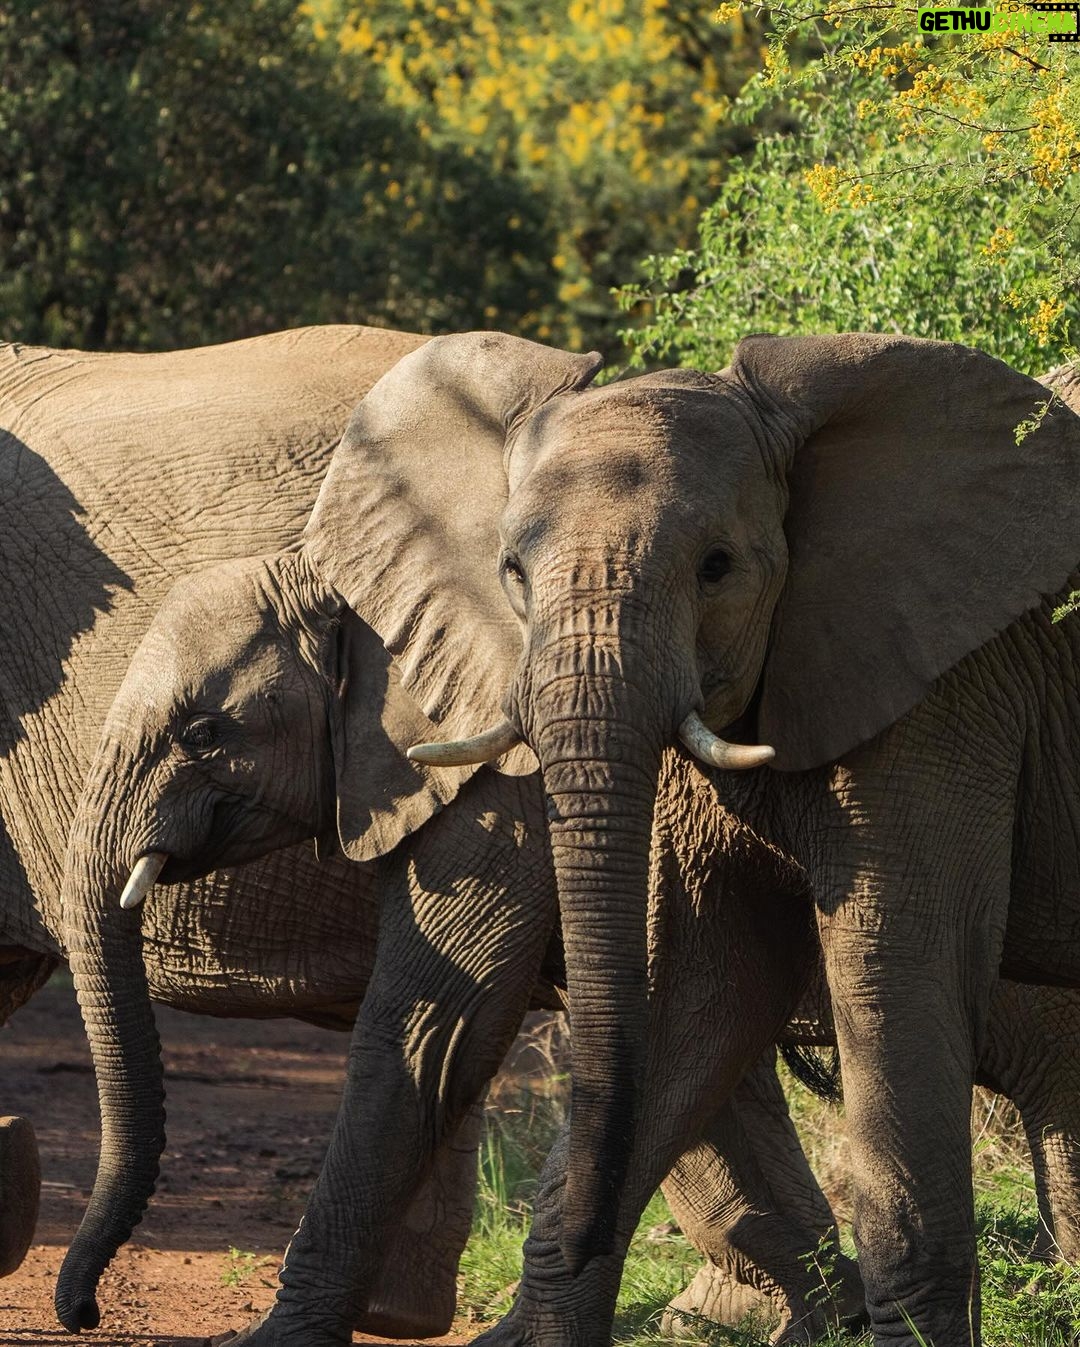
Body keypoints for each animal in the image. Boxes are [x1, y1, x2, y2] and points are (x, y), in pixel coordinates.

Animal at [61, 352, 1080, 1344]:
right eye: (512, 571)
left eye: (202, 733)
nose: (85, 1311)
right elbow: (709, 998)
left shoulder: (940, 688)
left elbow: (436, 1022)